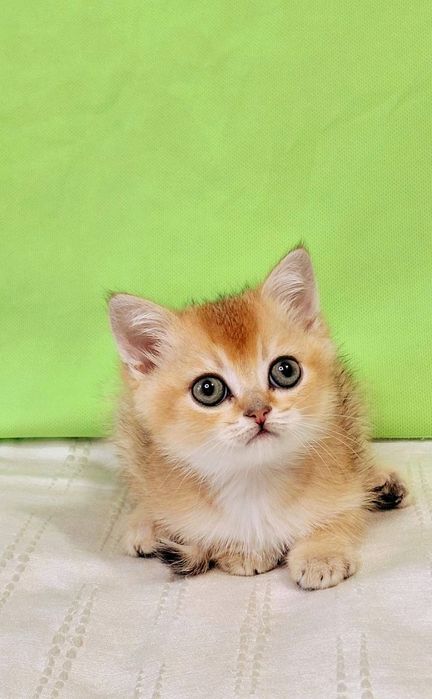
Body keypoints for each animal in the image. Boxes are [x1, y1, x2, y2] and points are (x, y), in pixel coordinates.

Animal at [108, 246, 409, 589]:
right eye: (207, 389)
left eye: (286, 370)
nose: (259, 411)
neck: (256, 479)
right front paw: (246, 552)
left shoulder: (344, 477)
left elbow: (339, 518)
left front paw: (321, 554)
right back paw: (145, 524)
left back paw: (383, 483)